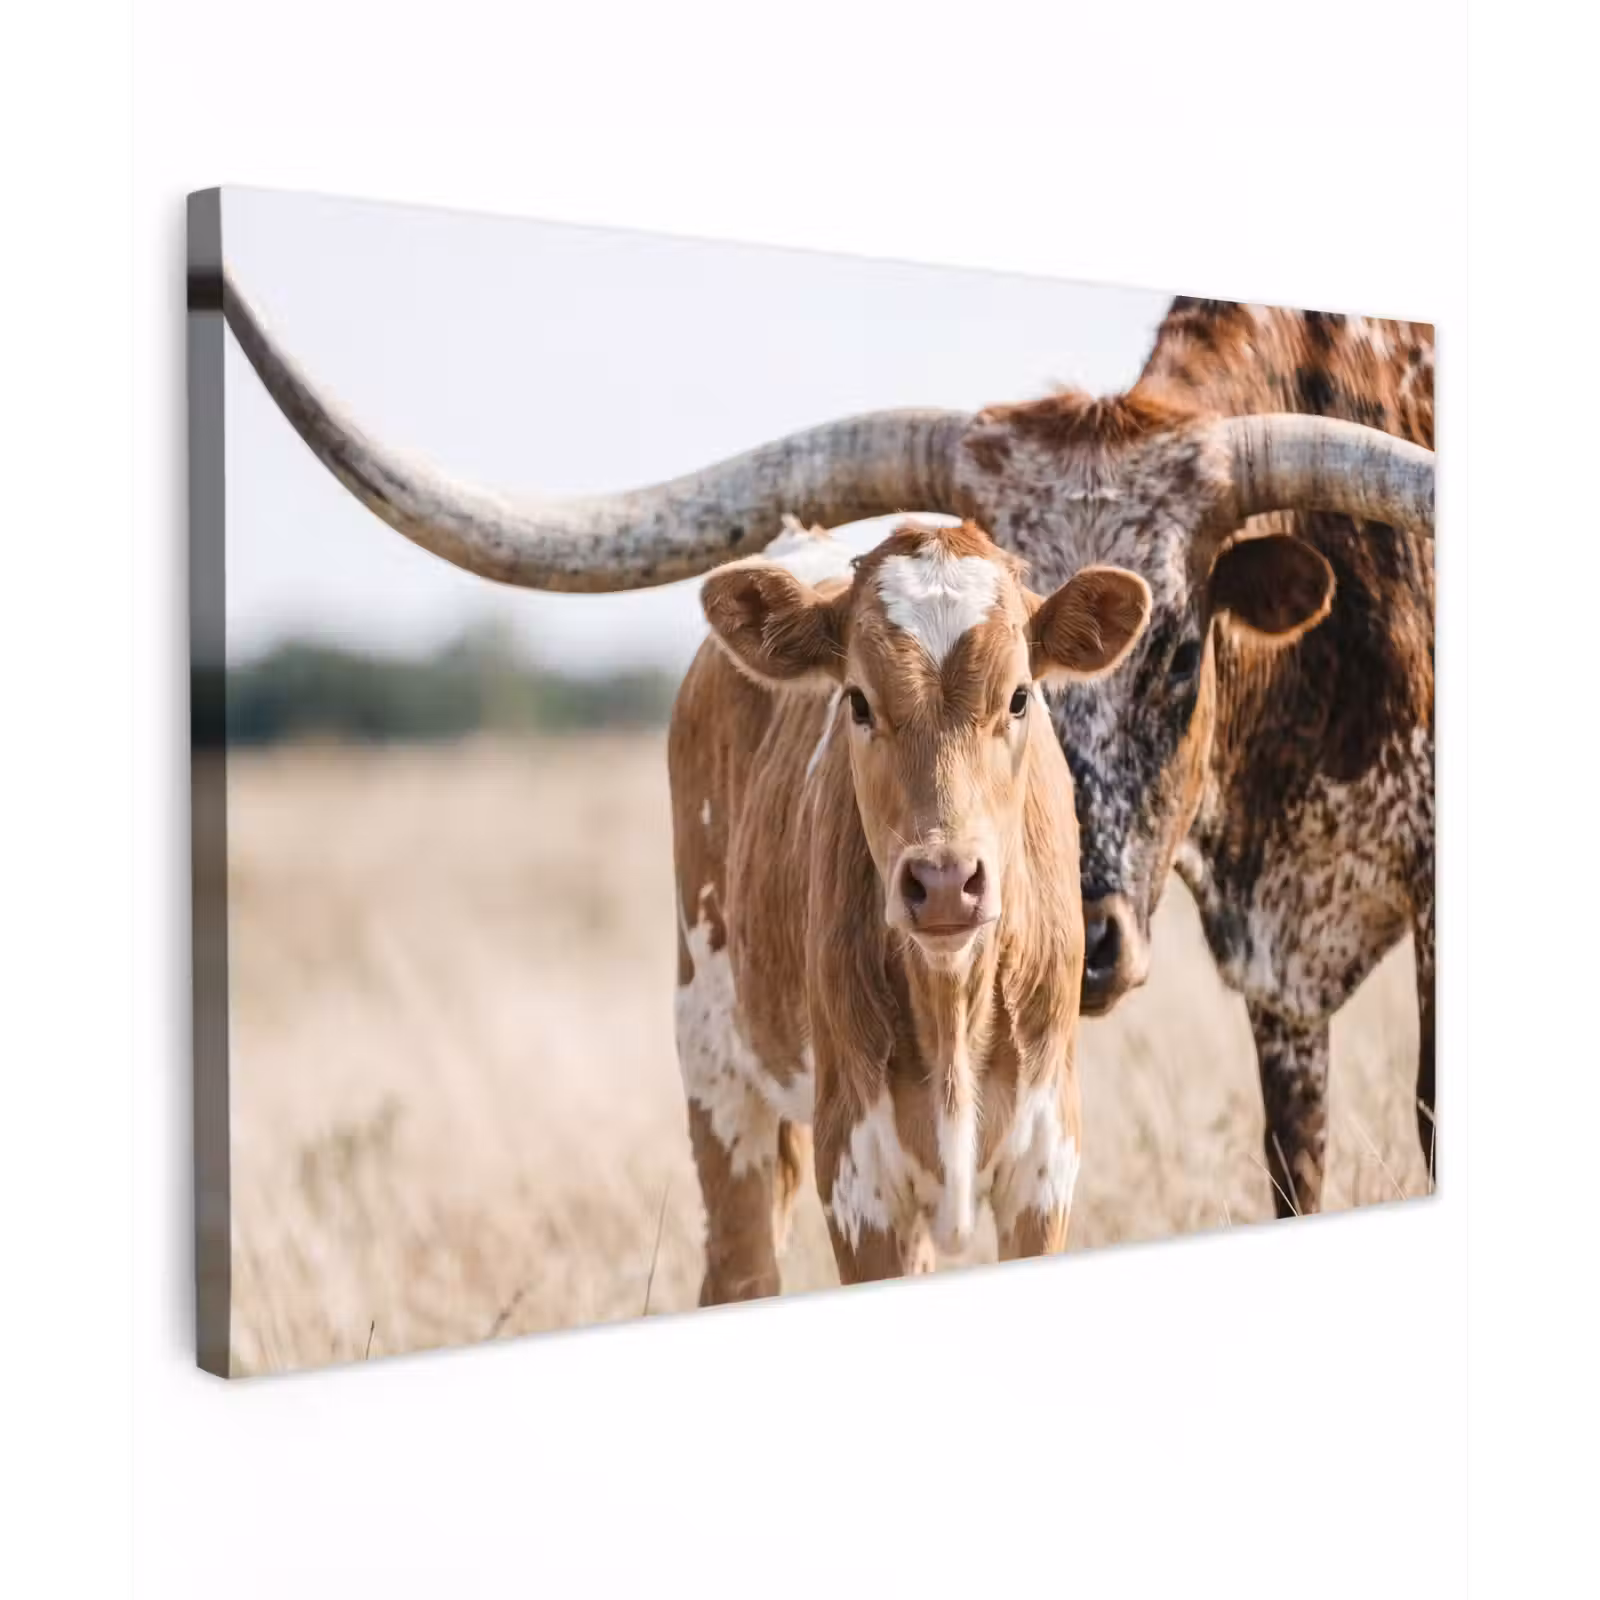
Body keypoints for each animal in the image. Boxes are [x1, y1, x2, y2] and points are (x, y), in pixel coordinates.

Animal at [672, 515, 1149, 1297]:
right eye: (858, 702)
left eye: (1020, 697)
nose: (947, 880)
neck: (952, 998)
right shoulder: (857, 1179)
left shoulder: (1045, 1164)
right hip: (715, 1064)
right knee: (742, 1264)